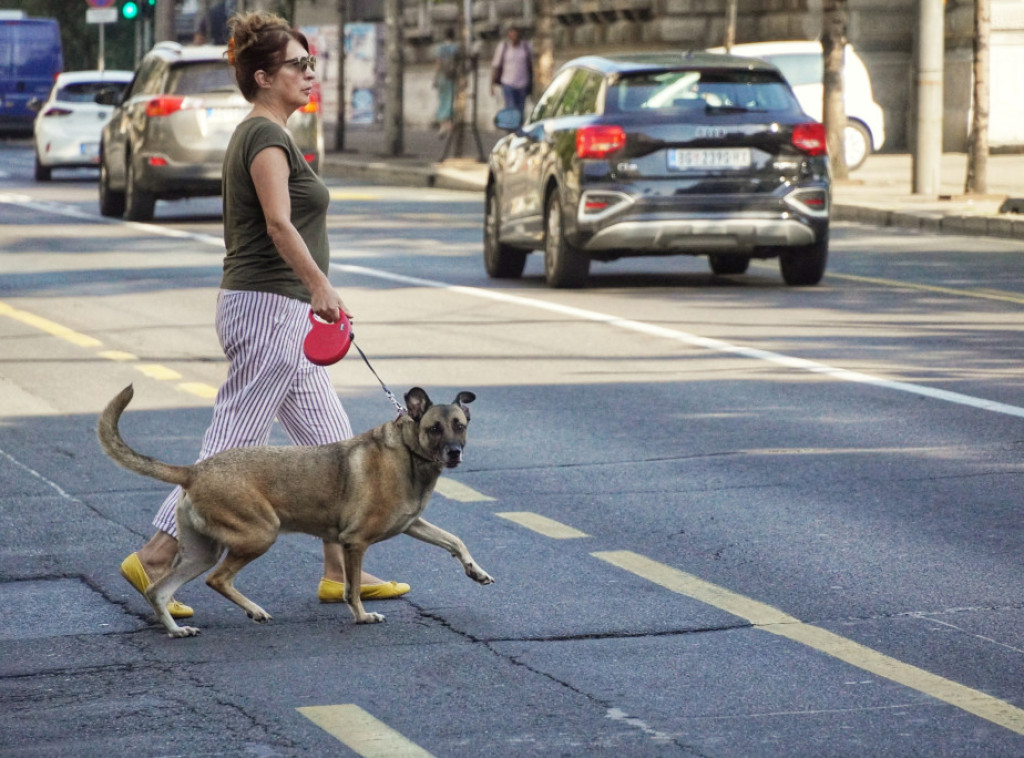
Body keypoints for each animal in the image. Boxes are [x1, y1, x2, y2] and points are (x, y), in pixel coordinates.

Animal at [97, 381, 493, 635]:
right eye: (435, 428)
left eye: (459, 425)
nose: (454, 453)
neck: (409, 452)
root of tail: (195, 470)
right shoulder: (355, 543)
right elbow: (351, 589)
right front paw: (362, 617)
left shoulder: (413, 524)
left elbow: (454, 540)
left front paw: (476, 571)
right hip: (259, 534)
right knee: (217, 579)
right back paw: (251, 610)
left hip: (201, 551)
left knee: (159, 590)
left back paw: (177, 629)